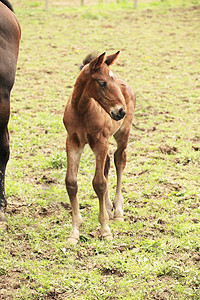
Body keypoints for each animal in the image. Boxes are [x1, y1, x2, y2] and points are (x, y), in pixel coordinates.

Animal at [63, 51, 137, 244]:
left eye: (112, 79)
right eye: (102, 82)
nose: (120, 111)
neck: (82, 110)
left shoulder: (100, 142)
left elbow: (99, 183)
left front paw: (105, 229)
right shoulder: (73, 142)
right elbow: (71, 182)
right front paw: (74, 232)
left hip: (122, 134)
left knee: (119, 160)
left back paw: (117, 211)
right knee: (108, 163)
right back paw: (109, 207)